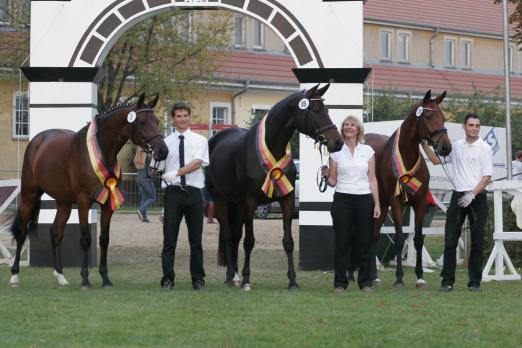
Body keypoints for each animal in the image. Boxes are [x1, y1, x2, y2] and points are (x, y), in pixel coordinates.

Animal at [9, 92, 168, 288]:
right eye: (143, 122)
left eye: (157, 121)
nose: (163, 151)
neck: (102, 152)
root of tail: (37, 141)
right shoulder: (84, 202)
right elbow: (85, 239)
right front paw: (85, 280)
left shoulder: (108, 204)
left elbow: (104, 240)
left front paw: (106, 279)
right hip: (29, 196)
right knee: (22, 231)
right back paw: (14, 275)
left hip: (64, 203)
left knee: (55, 233)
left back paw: (60, 275)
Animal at [205, 85, 344, 290]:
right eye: (314, 110)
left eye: (326, 110)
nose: (338, 142)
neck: (272, 147)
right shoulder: (250, 202)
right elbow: (249, 241)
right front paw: (247, 280)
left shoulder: (287, 199)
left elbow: (288, 241)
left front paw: (292, 281)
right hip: (220, 198)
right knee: (229, 235)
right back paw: (231, 277)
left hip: (236, 203)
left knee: (235, 235)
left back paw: (235, 276)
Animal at [364, 89, 448, 288]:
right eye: (428, 116)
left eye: (443, 118)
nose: (446, 147)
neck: (407, 156)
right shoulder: (397, 203)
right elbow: (400, 238)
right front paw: (399, 278)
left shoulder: (420, 202)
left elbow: (417, 239)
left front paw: (420, 277)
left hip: (382, 206)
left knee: (375, 235)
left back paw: (374, 276)